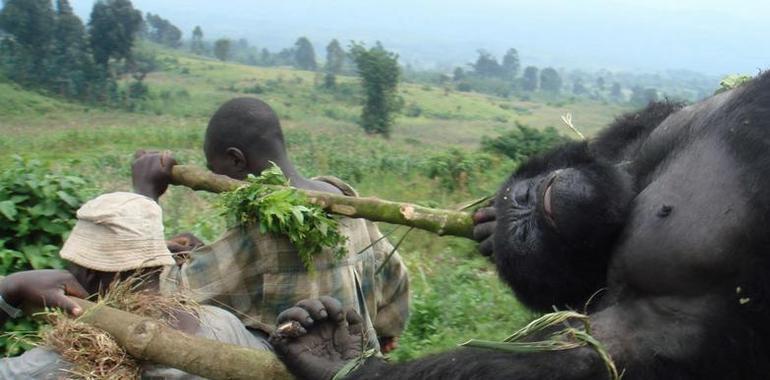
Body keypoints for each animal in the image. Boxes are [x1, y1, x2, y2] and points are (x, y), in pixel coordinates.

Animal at [268, 72, 768, 380]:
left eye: (519, 200)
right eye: (523, 233)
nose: (526, 204)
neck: (633, 195)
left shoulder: (672, 128)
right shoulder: (667, 322)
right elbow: (576, 352)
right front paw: (335, 358)